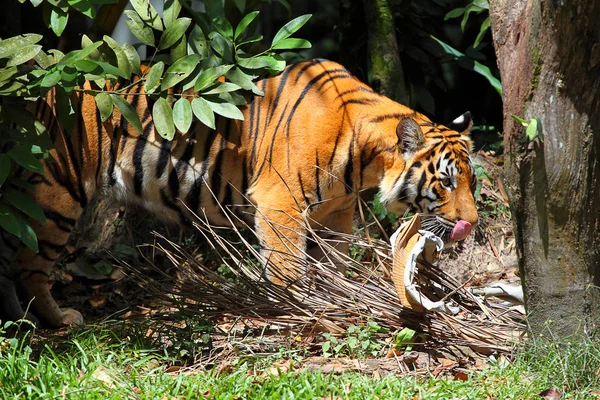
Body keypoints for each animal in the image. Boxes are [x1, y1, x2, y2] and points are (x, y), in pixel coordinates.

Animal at [0, 60, 478, 328]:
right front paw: (297, 309)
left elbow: (332, 259)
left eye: (471, 181)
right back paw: (57, 321)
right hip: (56, 195)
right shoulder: (280, 203)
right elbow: (287, 265)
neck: (365, 161)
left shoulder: (335, 214)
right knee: (28, 266)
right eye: (446, 181)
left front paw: (333, 296)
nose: (470, 224)